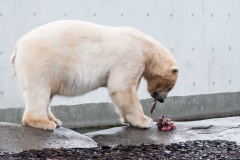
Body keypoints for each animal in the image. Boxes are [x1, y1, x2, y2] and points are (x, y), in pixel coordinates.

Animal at [10, 20, 178, 130]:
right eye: (170, 88)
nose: (161, 100)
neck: (145, 46)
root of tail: (17, 46)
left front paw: (129, 120)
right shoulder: (131, 56)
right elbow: (121, 88)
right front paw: (145, 121)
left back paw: (55, 120)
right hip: (42, 61)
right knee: (39, 89)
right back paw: (44, 123)